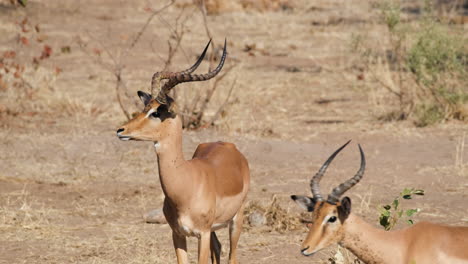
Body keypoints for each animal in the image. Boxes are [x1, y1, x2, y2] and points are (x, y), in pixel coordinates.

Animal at [115, 39, 250, 264]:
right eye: (145, 108)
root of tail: (229, 146)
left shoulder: (202, 233)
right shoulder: (177, 233)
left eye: (156, 113)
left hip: (236, 219)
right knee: (218, 248)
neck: (186, 185)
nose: (121, 130)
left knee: (232, 256)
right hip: (214, 230)